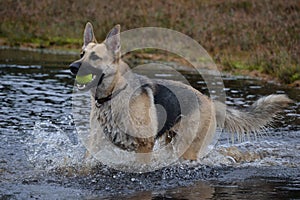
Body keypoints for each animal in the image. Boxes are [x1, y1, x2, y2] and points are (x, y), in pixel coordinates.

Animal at [69, 22, 292, 161]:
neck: (113, 94)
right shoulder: (97, 145)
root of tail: (209, 101)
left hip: (186, 150)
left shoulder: (144, 147)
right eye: (81, 54)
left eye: (94, 57)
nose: (72, 67)